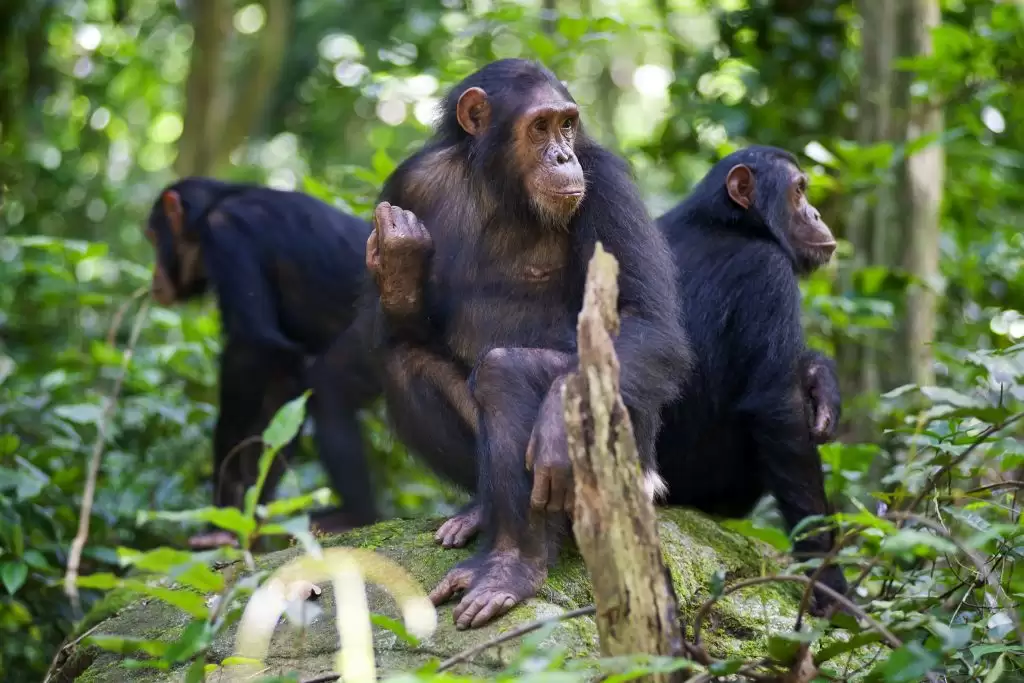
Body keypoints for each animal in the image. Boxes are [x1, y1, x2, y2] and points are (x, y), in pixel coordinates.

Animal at [143, 178, 380, 548]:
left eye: (153, 238)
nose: (153, 276)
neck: (211, 209)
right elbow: (281, 388)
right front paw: (246, 519)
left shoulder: (226, 235)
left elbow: (253, 347)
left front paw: (224, 509)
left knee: (328, 391)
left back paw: (356, 516)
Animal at [360, 61, 688, 634]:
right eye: (540, 127)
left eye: (567, 125)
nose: (562, 156)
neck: (500, 186)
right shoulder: (409, 182)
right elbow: (404, 335)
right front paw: (399, 261)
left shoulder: (607, 183)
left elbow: (647, 319)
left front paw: (556, 421)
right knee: (405, 362)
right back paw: (484, 520)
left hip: (634, 473)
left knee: (505, 372)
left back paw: (512, 569)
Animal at [655, 145, 847, 614]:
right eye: (798, 192)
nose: (816, 213)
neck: (727, 222)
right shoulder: (769, 275)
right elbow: (778, 408)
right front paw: (829, 582)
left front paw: (822, 382)